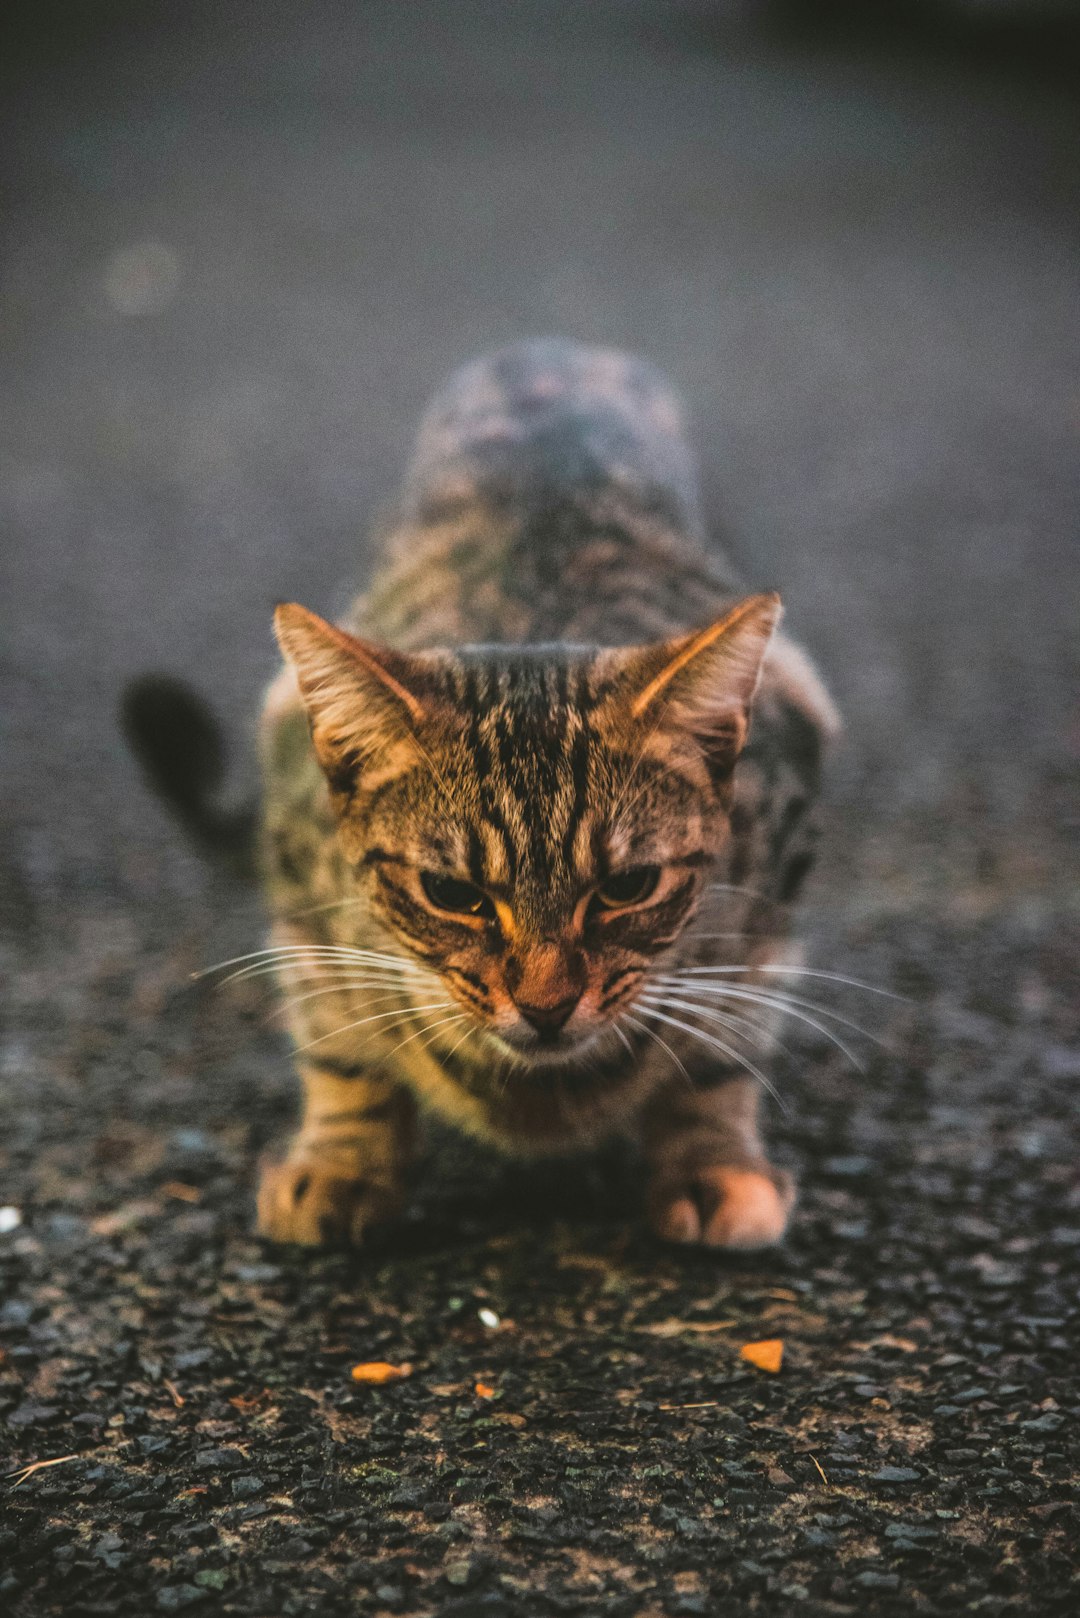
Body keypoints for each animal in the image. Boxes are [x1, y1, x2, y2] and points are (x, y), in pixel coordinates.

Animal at [127, 338, 841, 1249]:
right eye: (451, 892)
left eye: (628, 887)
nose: (546, 1006)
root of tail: (554, 344)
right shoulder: (300, 888)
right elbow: (337, 1045)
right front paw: (343, 1163)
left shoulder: (771, 888)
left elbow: (722, 1049)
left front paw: (711, 1163)